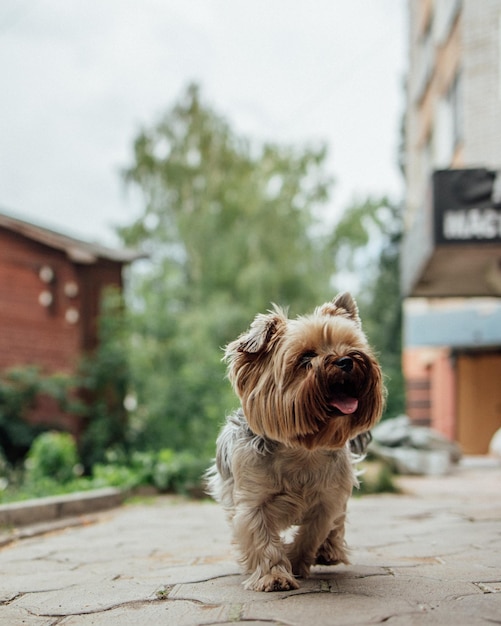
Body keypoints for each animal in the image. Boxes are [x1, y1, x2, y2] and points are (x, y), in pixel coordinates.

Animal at [205, 292, 384, 588]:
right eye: (306, 357)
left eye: (349, 345)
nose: (345, 361)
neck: (302, 450)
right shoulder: (252, 501)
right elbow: (261, 537)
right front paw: (275, 575)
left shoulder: (327, 500)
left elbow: (314, 532)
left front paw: (298, 561)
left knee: (338, 522)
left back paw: (329, 551)